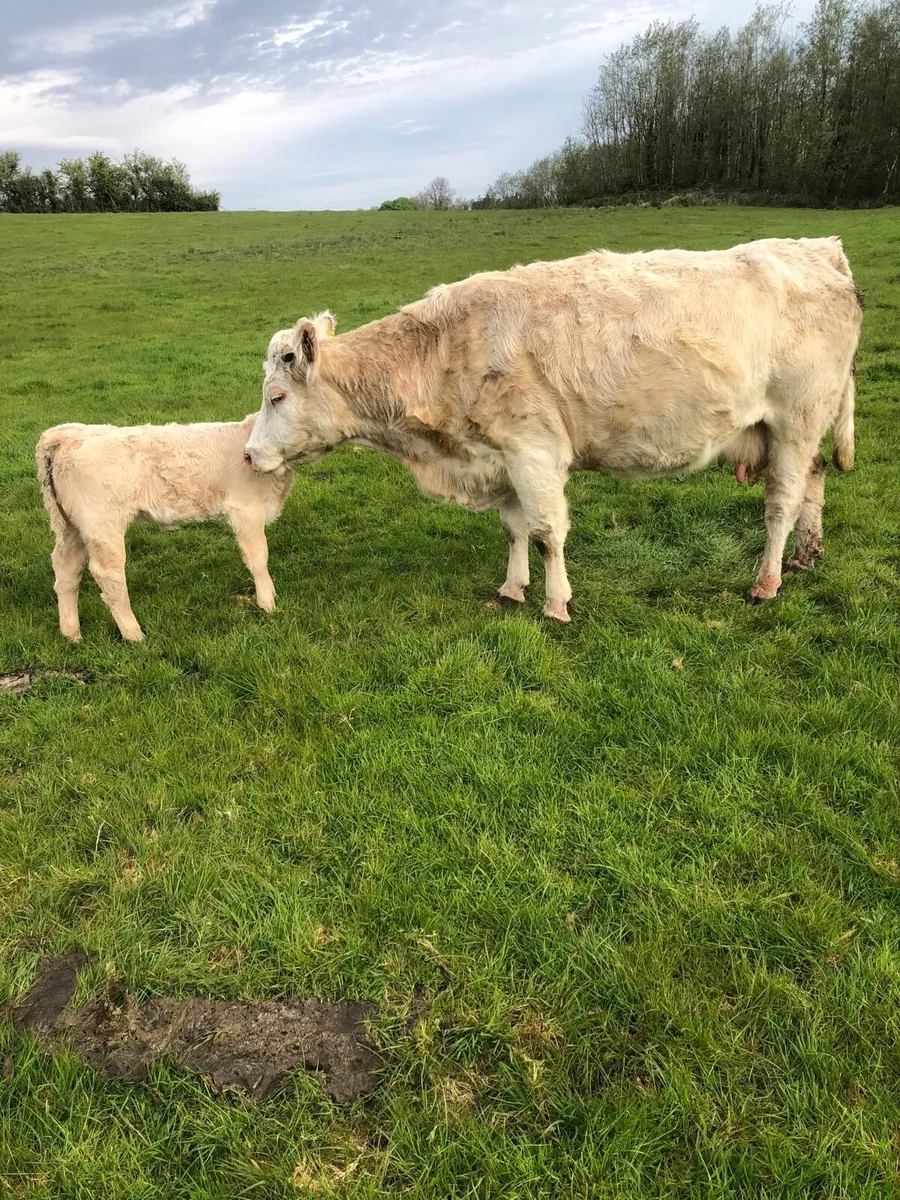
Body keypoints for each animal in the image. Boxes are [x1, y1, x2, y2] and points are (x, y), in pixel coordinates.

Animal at [37, 415, 293, 642]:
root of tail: (70, 433)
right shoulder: (246, 511)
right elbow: (258, 558)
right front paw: (268, 605)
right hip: (102, 523)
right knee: (107, 572)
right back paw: (134, 635)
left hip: (72, 526)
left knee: (67, 566)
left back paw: (72, 635)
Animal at [244, 238, 862, 620]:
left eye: (276, 396)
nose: (249, 456)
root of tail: (820, 250)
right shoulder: (501, 453)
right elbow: (514, 529)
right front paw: (512, 589)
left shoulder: (533, 449)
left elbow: (545, 532)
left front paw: (555, 603)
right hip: (797, 425)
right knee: (814, 480)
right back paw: (807, 556)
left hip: (796, 417)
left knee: (782, 501)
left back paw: (767, 580)